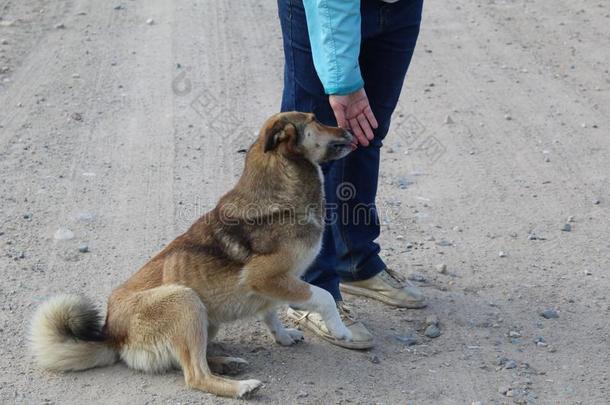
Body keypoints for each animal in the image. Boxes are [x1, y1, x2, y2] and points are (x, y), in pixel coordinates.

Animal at [30, 110, 356, 398]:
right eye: (315, 119)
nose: (349, 129)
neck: (280, 185)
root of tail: (113, 336)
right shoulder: (266, 277)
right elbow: (323, 296)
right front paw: (340, 329)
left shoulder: (269, 287)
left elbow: (270, 313)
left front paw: (284, 337)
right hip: (185, 300)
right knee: (195, 375)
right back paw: (241, 387)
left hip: (204, 319)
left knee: (186, 362)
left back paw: (226, 363)